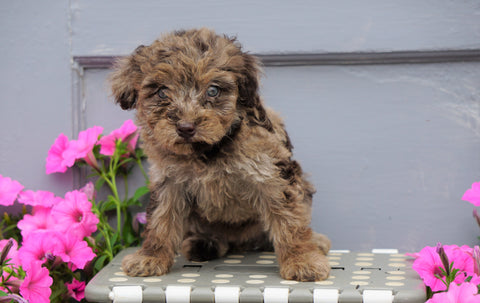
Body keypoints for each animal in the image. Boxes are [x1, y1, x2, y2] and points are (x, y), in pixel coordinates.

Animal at [110, 28, 332, 282]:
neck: (209, 150)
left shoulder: (273, 174)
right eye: (162, 92)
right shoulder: (169, 181)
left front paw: (302, 260)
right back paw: (204, 244)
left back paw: (316, 241)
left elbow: (291, 219)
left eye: (213, 90)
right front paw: (150, 257)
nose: (186, 127)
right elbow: (160, 219)